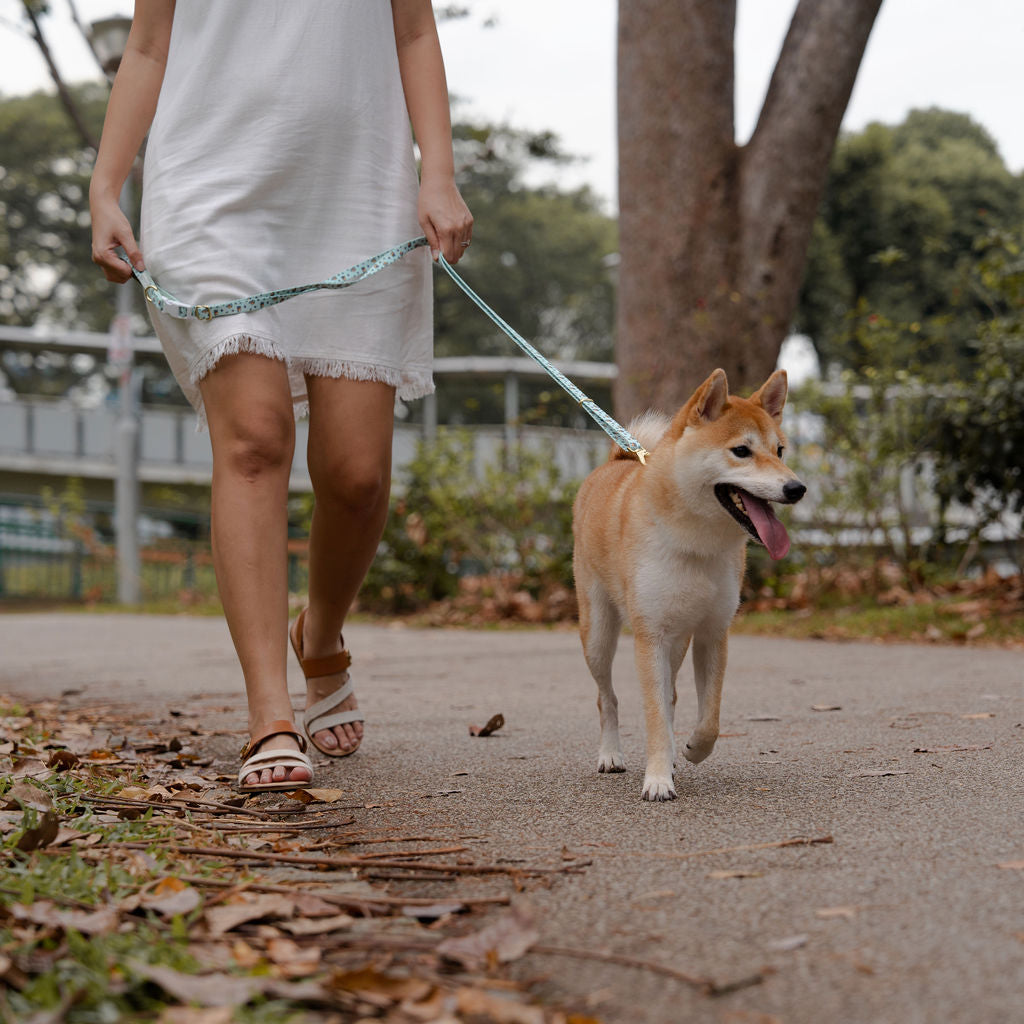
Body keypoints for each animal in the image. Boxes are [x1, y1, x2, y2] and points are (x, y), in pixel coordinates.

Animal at [573, 368, 802, 798]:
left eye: (780, 451)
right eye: (741, 451)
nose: (797, 488)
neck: (696, 544)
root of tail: (618, 459)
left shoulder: (713, 633)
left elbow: (709, 716)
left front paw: (694, 748)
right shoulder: (650, 638)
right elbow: (653, 716)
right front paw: (658, 779)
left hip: (678, 642)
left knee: (672, 696)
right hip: (598, 635)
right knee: (606, 698)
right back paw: (610, 754)